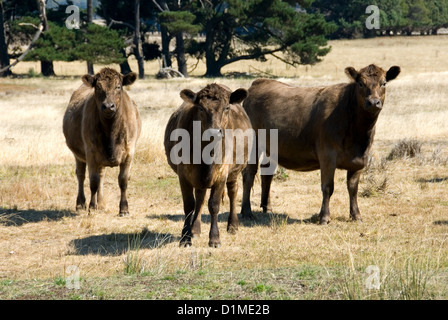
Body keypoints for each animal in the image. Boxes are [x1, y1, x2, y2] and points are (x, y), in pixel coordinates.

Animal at [62, 68, 141, 218]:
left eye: (118, 86)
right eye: (98, 87)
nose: (108, 106)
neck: (111, 131)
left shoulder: (129, 152)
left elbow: (123, 180)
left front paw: (124, 209)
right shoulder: (91, 152)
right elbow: (93, 181)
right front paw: (92, 207)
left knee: (101, 175)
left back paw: (102, 203)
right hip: (78, 155)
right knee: (81, 175)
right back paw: (81, 204)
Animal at [165, 83, 252, 248]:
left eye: (226, 107)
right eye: (200, 108)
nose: (213, 132)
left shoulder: (221, 175)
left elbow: (214, 205)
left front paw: (214, 238)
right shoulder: (184, 175)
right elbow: (189, 205)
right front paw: (185, 237)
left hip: (234, 172)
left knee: (232, 192)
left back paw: (232, 226)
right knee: (200, 197)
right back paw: (195, 229)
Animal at [240, 63, 400, 225]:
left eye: (384, 83)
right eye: (361, 83)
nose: (373, 102)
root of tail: (259, 83)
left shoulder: (359, 160)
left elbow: (353, 188)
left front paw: (356, 215)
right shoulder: (327, 155)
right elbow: (328, 187)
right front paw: (324, 217)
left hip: (271, 148)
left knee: (267, 173)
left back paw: (267, 208)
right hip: (253, 146)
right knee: (248, 175)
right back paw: (246, 212)